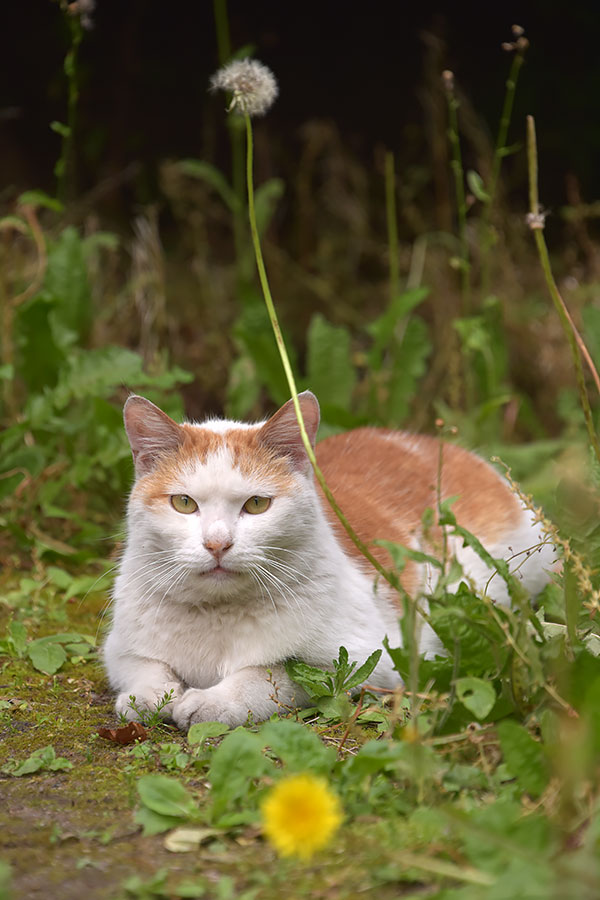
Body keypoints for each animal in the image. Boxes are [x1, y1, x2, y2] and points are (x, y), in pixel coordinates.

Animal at [103, 390, 552, 728]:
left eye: (256, 504)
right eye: (183, 503)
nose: (217, 543)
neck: (218, 617)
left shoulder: (360, 661)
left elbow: (267, 675)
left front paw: (212, 702)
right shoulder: (121, 648)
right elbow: (146, 668)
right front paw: (145, 698)